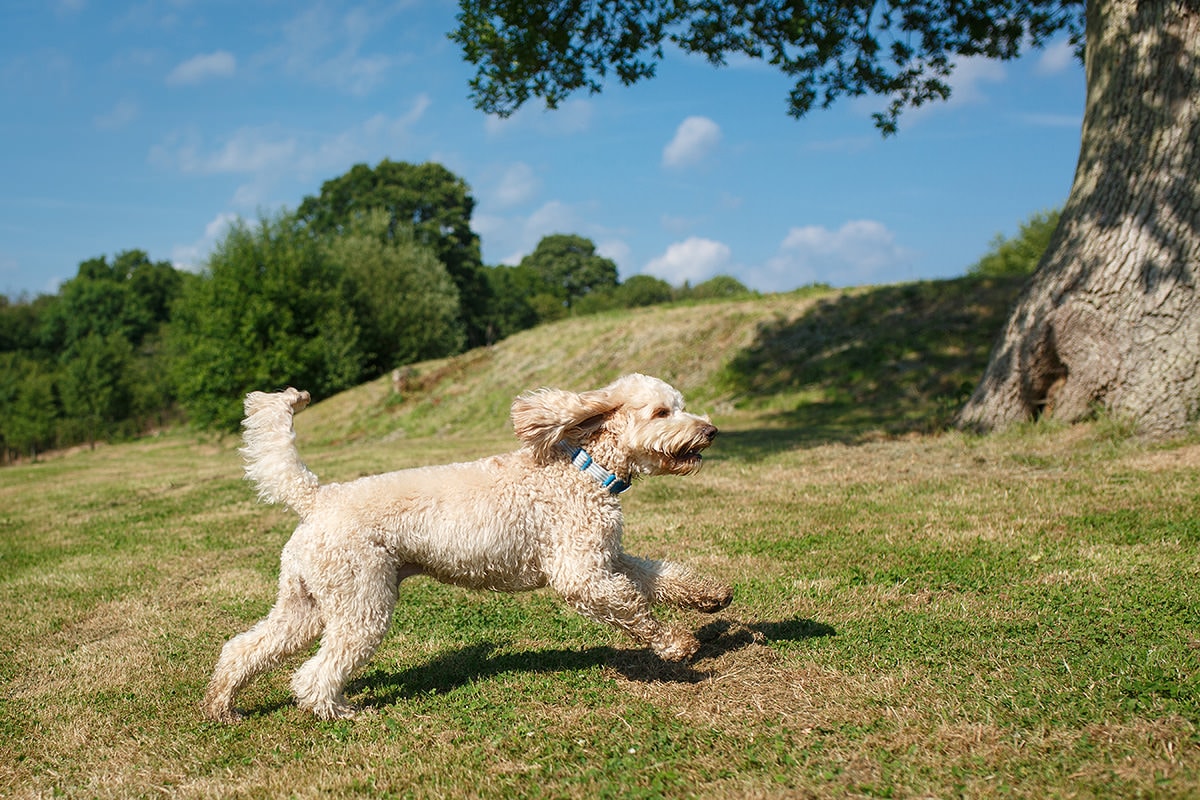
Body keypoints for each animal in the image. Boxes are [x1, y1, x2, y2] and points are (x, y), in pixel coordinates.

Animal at [202, 371, 729, 724]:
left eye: (680, 405)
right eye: (662, 412)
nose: (710, 431)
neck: (584, 468)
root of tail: (318, 497)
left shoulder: (609, 557)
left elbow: (660, 577)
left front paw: (712, 597)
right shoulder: (580, 574)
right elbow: (634, 606)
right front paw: (678, 644)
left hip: (308, 603)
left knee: (244, 648)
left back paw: (222, 706)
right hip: (361, 602)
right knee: (313, 674)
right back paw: (341, 713)